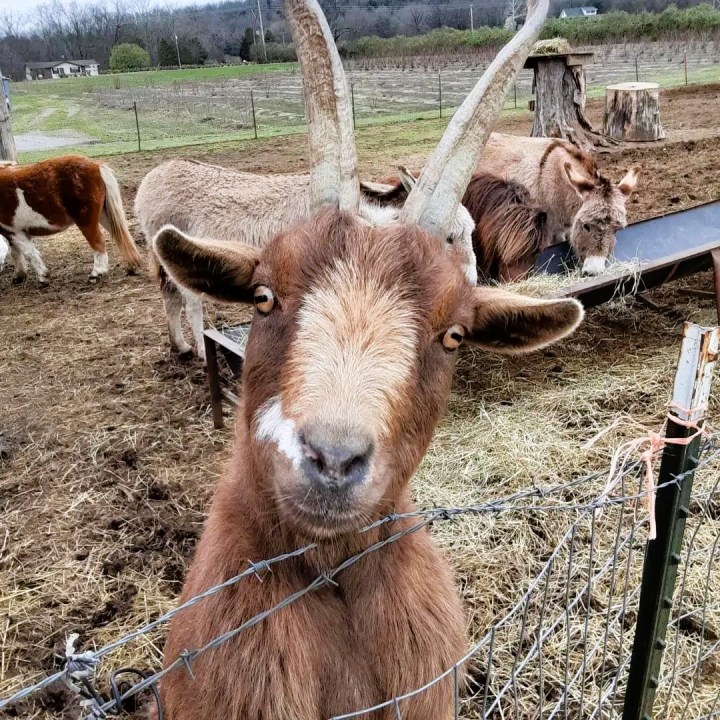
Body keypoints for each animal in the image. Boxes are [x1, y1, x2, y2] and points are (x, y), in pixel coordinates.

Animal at [0, 156, 142, 286]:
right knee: (121, 237)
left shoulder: (14, 231)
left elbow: (29, 253)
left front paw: (43, 277)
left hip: (86, 221)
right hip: (104, 215)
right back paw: (132, 266)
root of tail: (96, 166)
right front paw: (19, 275)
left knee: (98, 242)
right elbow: (16, 253)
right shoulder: (11, 232)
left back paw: (96, 274)